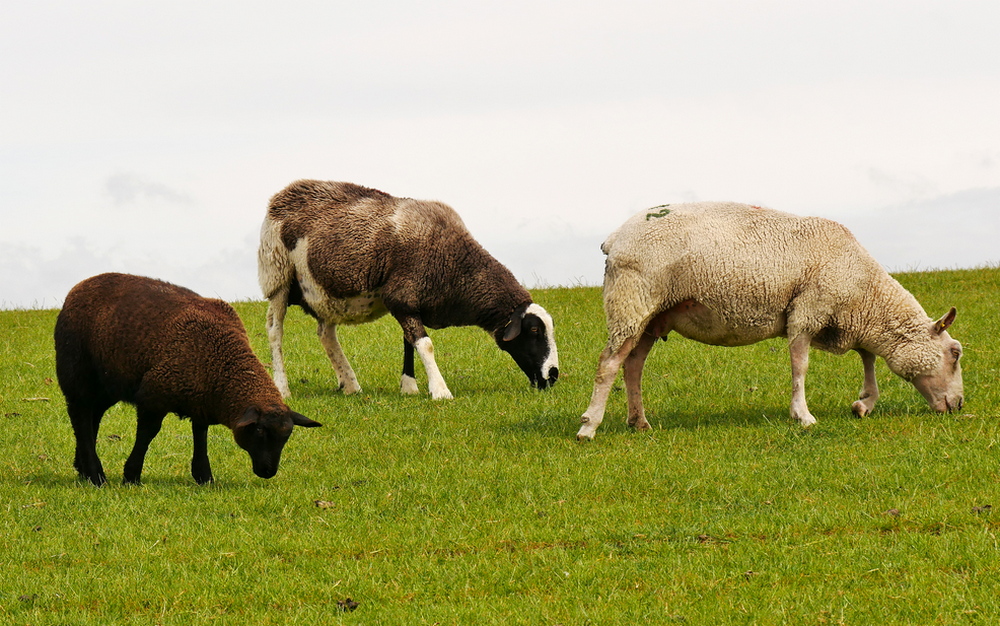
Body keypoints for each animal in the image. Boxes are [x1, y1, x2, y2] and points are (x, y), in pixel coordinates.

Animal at [54, 270, 320, 486]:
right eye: (259, 431)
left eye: (287, 436)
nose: (268, 472)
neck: (221, 364)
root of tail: (78, 287)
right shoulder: (153, 396)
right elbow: (147, 435)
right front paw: (131, 475)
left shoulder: (201, 401)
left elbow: (200, 435)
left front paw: (204, 476)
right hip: (76, 372)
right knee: (80, 417)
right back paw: (95, 475)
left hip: (108, 384)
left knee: (93, 416)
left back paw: (83, 469)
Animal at [258, 178, 560, 398]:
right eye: (534, 330)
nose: (554, 375)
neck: (455, 264)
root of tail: (285, 192)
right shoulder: (402, 297)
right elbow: (425, 344)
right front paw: (440, 391)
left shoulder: (410, 301)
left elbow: (409, 341)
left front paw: (409, 387)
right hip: (277, 274)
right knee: (275, 330)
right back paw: (283, 388)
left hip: (324, 290)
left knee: (326, 334)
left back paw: (351, 384)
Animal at [580, 201, 960, 438]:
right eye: (955, 353)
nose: (958, 405)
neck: (867, 294)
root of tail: (614, 238)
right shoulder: (808, 311)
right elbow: (800, 367)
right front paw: (803, 415)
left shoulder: (844, 319)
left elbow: (867, 355)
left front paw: (864, 403)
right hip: (631, 302)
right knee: (608, 364)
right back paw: (589, 426)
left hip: (650, 317)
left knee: (632, 366)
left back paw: (639, 422)